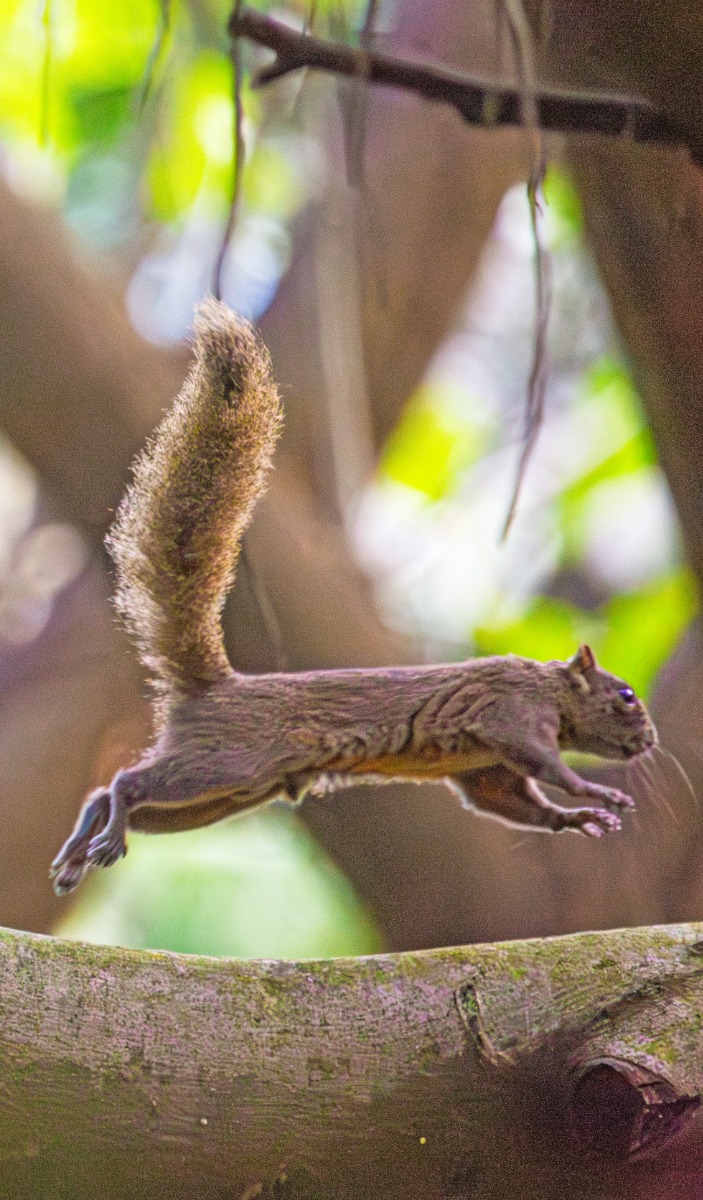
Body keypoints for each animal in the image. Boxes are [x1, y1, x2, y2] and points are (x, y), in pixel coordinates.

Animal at [51, 299, 658, 896]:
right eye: (626, 695)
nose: (651, 741)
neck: (551, 688)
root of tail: (212, 689)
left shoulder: (481, 766)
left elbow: (507, 800)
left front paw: (576, 818)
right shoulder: (509, 712)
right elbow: (543, 763)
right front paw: (596, 793)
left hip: (228, 795)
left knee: (114, 798)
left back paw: (81, 846)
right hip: (225, 762)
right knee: (129, 783)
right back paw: (107, 831)